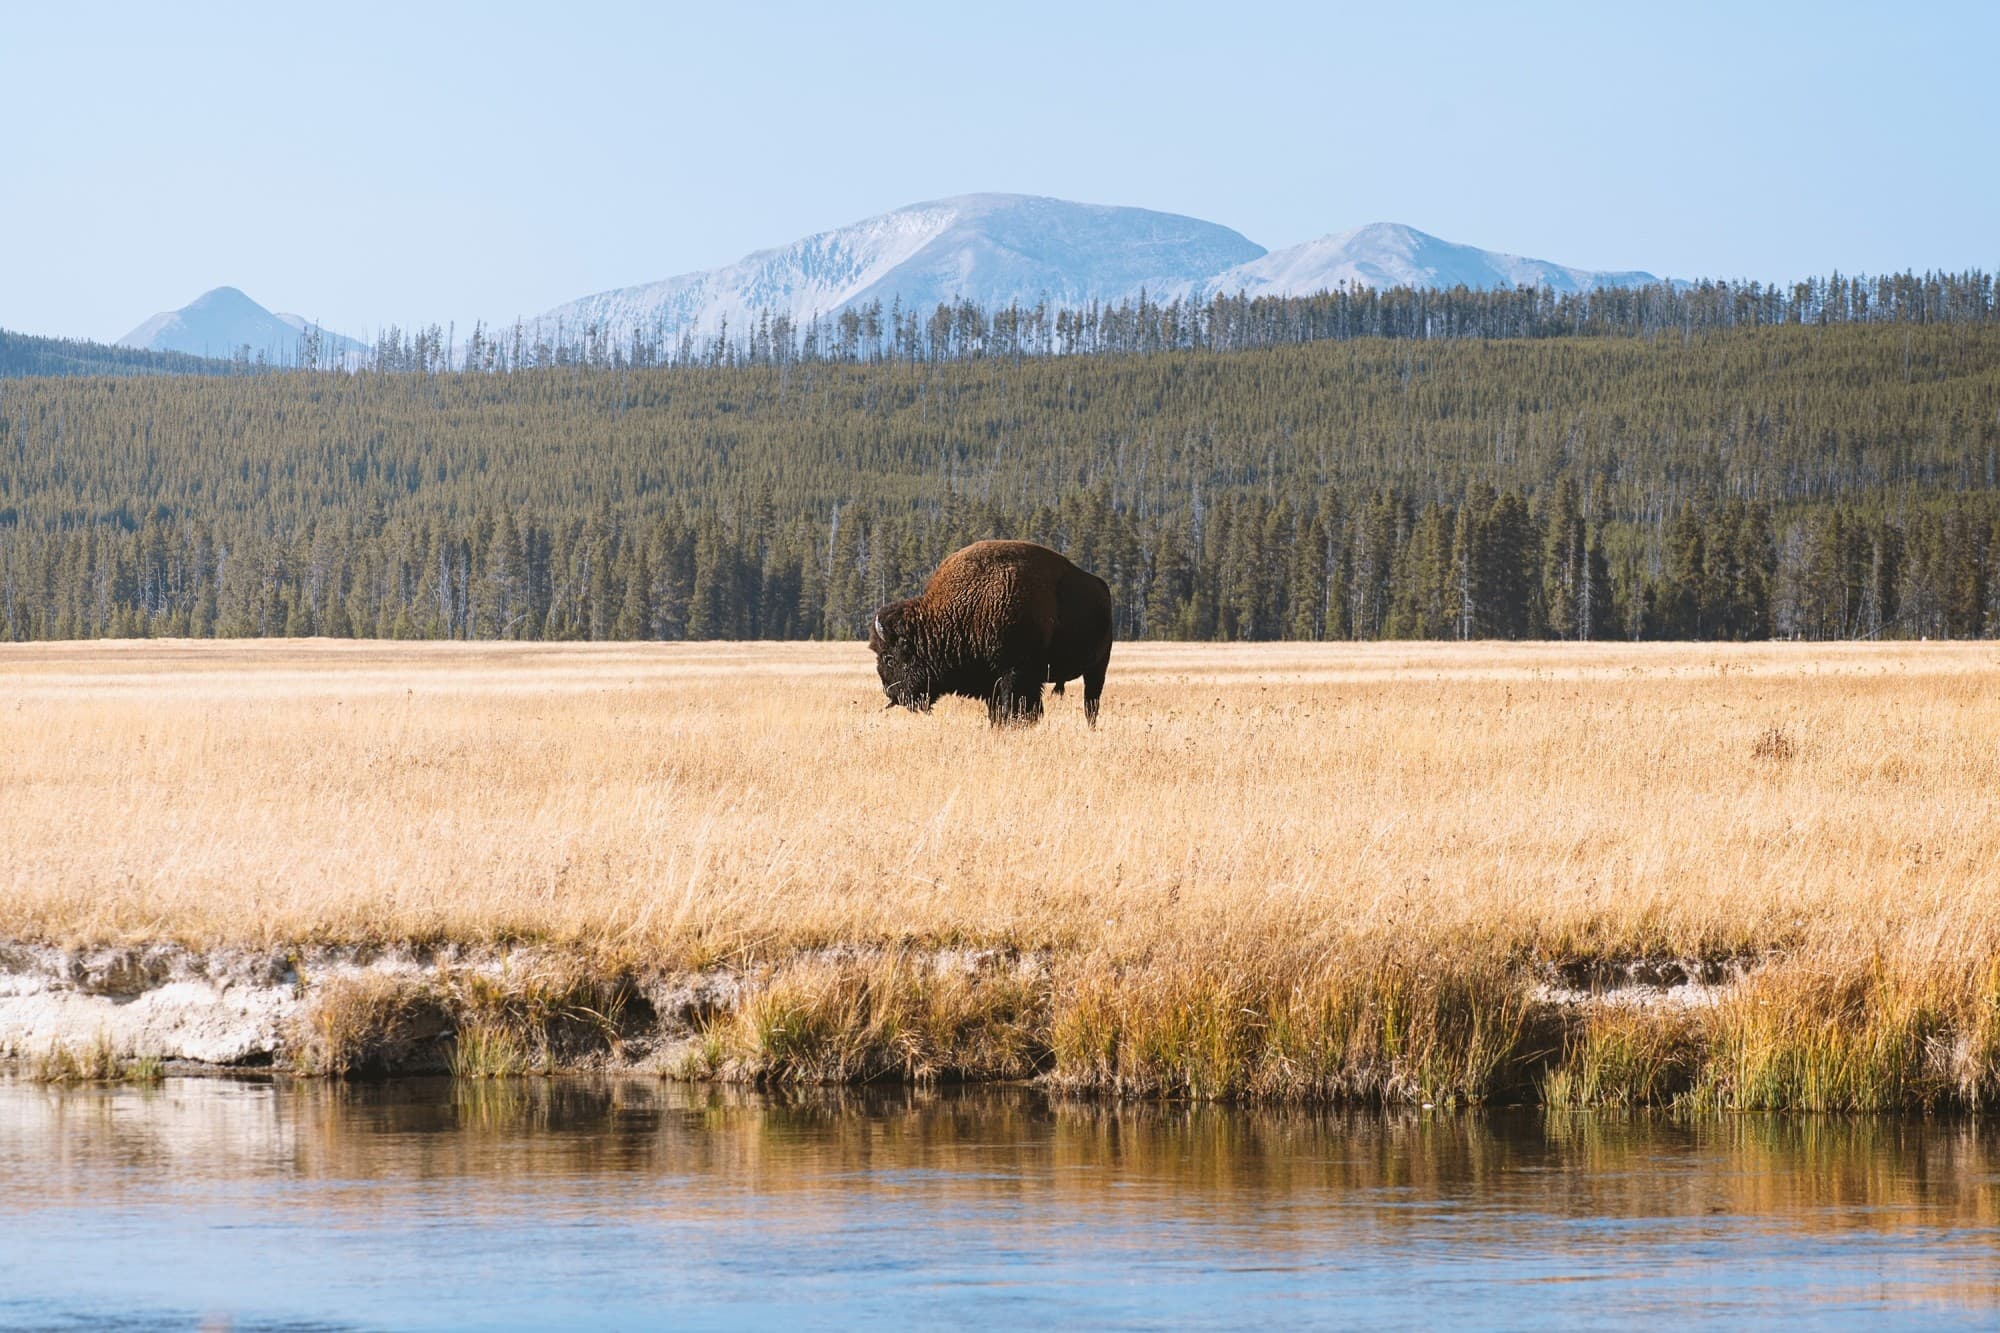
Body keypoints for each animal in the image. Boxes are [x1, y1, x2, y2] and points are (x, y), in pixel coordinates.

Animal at [869, 540, 1113, 727]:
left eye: (889, 658)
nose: (889, 693)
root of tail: (1101, 586)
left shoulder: (1014, 674)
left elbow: (1015, 709)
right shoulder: (993, 681)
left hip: (1097, 668)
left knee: (1091, 703)